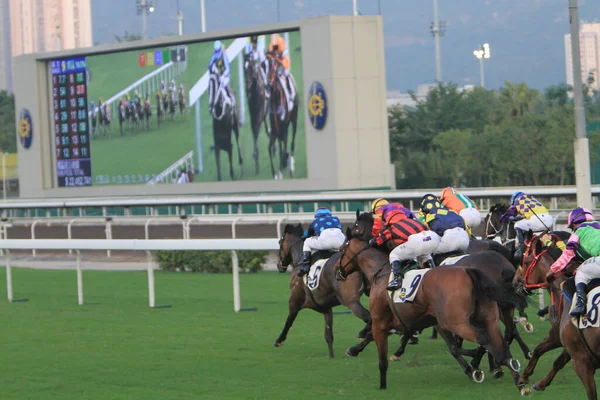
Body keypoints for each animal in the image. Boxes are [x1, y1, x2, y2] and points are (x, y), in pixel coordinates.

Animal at [274, 223, 372, 358]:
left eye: (280, 242)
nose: (279, 265)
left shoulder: (294, 301)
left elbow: (289, 320)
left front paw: (279, 340)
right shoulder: (326, 308)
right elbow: (328, 335)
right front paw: (331, 356)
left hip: (351, 301)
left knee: (369, 317)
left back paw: (361, 336)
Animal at [336, 227, 528, 392]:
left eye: (341, 250)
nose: (338, 272)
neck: (381, 272)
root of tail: (470, 271)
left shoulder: (381, 320)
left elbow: (374, 336)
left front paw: (356, 350)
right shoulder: (423, 321)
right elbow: (452, 347)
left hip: (458, 322)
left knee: (485, 338)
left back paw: (495, 364)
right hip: (489, 318)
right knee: (503, 339)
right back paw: (513, 373)